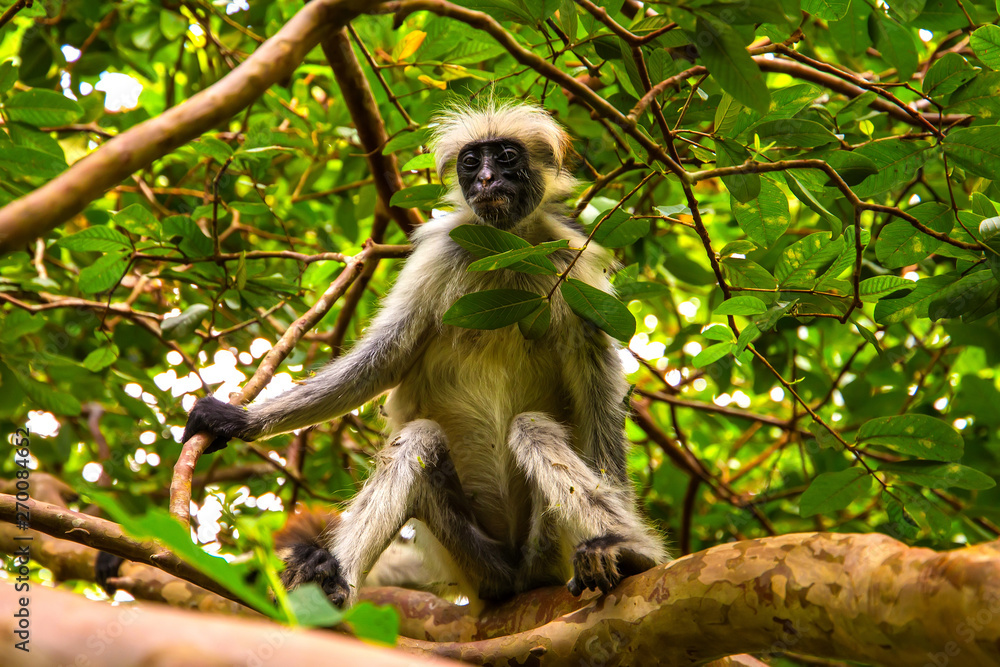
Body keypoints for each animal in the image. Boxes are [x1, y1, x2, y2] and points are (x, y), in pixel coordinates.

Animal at [182, 101, 669, 607]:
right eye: (471, 162)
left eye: (506, 157)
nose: (485, 180)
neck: (506, 250)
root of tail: (516, 577)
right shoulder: (444, 248)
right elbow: (384, 359)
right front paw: (236, 421)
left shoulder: (572, 265)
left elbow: (598, 395)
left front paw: (635, 546)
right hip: (471, 558)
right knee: (420, 439)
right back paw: (327, 579)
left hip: (545, 545)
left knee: (532, 428)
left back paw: (625, 553)